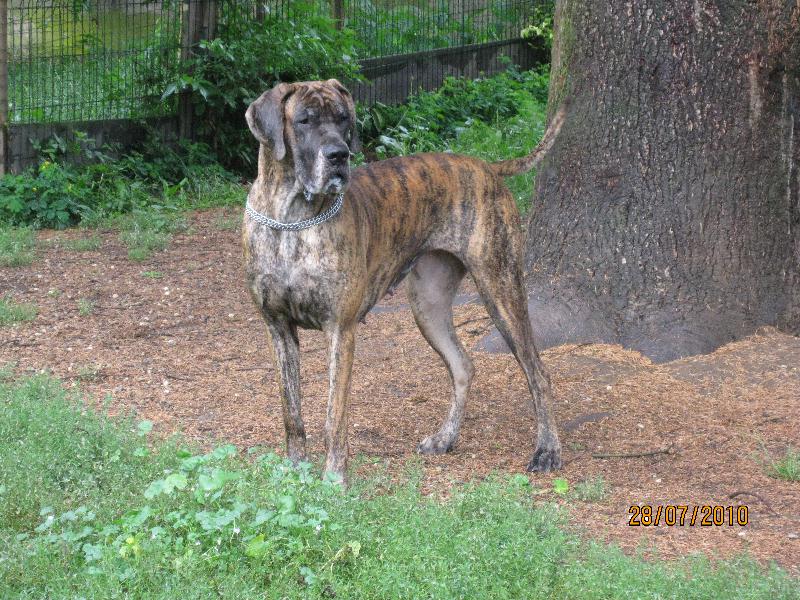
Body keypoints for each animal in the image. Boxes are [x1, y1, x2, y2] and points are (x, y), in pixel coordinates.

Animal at [242, 81, 564, 482]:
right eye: (304, 120)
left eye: (343, 119)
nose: (339, 155)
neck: (292, 219)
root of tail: (486, 166)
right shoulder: (279, 328)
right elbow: (292, 413)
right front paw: (295, 471)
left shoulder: (340, 330)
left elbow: (334, 416)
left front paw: (334, 479)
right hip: (428, 306)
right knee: (463, 366)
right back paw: (445, 438)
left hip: (500, 288)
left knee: (538, 373)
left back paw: (548, 450)